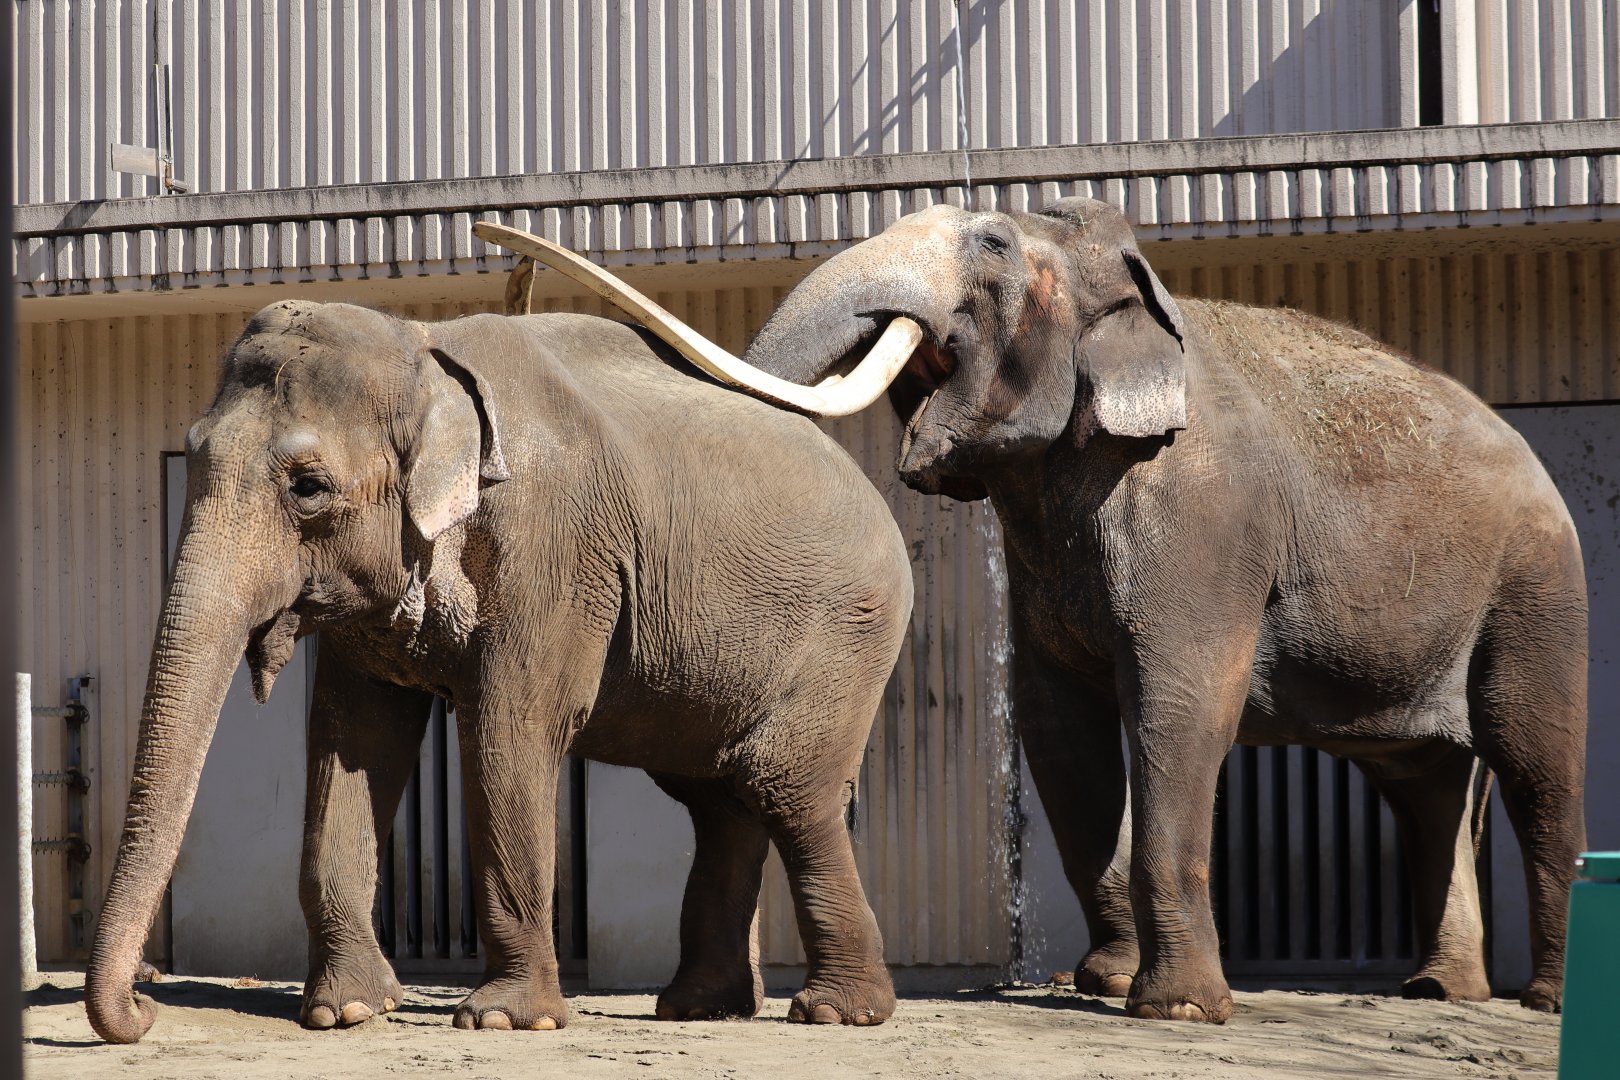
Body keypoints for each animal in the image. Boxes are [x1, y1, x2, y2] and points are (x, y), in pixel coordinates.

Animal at [85, 300, 914, 1043]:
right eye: (190, 453)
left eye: (308, 486)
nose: (145, 1004)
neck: (423, 353)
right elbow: (354, 743)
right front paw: (344, 1013)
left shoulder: (553, 551)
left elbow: (509, 732)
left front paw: (504, 1021)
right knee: (716, 801)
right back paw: (697, 1009)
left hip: (849, 634)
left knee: (784, 790)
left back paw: (837, 1013)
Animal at [542, 198, 1588, 1023]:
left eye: (994, 244)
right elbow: (1059, 731)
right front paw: (1106, 982)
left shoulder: (1204, 519)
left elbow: (1176, 712)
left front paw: (1175, 1010)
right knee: (1424, 781)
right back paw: (1440, 991)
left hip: (1538, 584)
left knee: (1532, 762)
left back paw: (1542, 999)